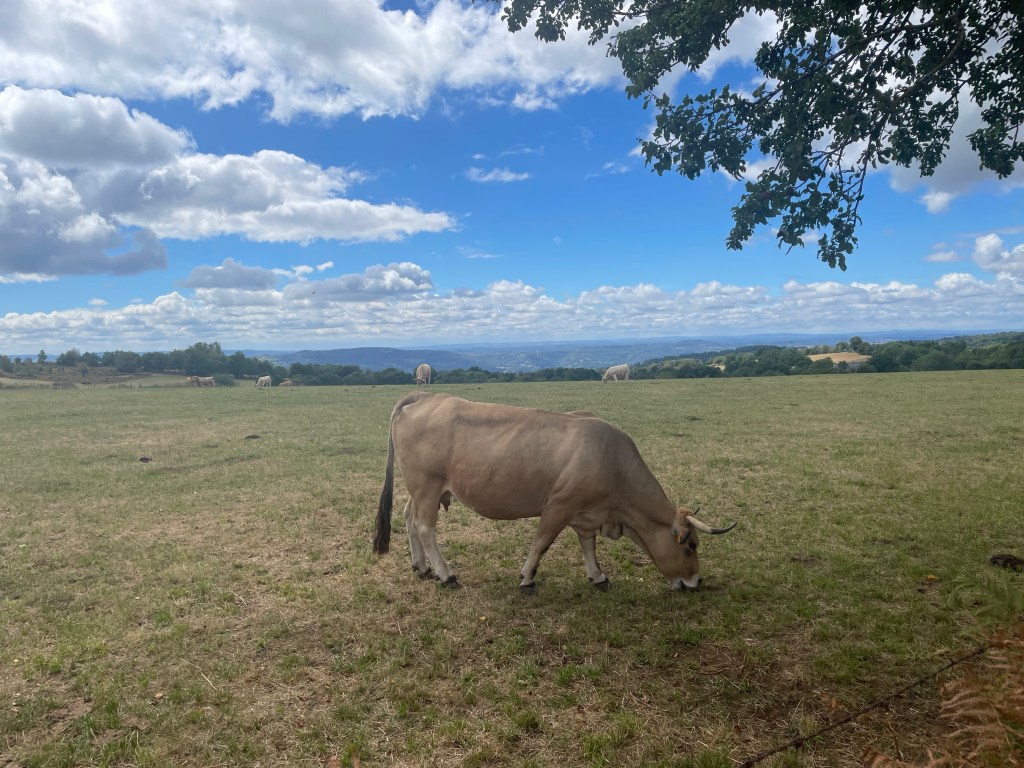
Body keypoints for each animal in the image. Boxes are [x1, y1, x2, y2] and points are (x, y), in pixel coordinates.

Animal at [373, 392, 735, 592]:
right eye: (690, 545)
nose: (697, 581)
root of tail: (428, 397)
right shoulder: (560, 504)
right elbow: (541, 542)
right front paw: (527, 578)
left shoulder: (587, 512)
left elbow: (588, 545)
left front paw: (597, 576)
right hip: (427, 483)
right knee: (425, 528)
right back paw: (445, 575)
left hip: (422, 488)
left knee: (408, 518)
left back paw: (421, 567)